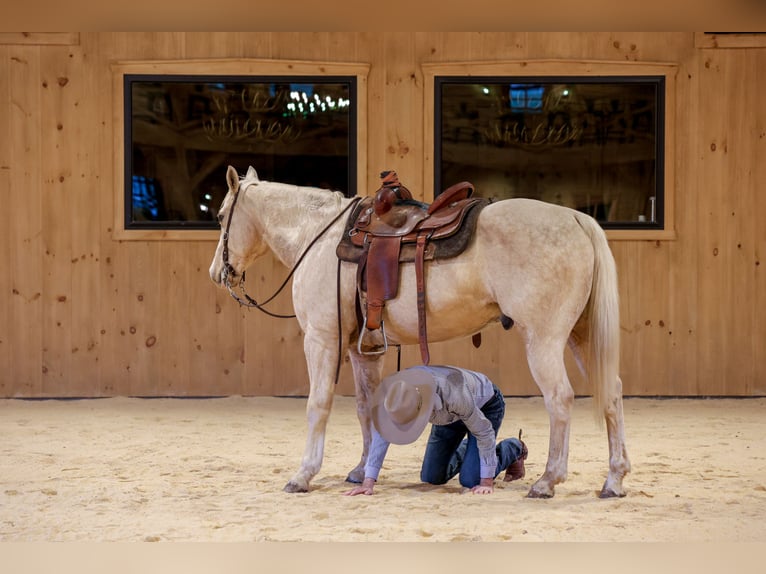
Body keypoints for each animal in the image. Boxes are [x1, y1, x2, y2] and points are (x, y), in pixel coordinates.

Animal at [209, 165, 631, 499]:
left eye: (221, 214)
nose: (218, 273)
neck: (320, 238)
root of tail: (576, 219)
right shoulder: (363, 350)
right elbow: (365, 408)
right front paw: (361, 470)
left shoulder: (321, 340)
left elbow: (318, 405)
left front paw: (303, 475)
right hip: (580, 337)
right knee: (611, 393)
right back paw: (614, 479)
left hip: (543, 341)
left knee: (559, 399)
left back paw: (547, 481)